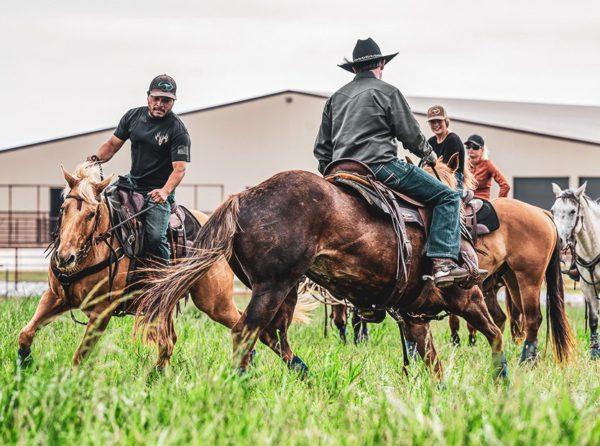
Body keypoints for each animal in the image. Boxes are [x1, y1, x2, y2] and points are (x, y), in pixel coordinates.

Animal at [17, 163, 311, 369]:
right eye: (63, 208)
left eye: (91, 214)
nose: (65, 257)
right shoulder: (55, 297)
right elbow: (26, 333)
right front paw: (25, 366)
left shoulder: (101, 312)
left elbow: (80, 356)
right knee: (170, 342)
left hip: (214, 302)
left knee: (242, 324)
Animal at [136, 161, 509, 380]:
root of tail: (242, 198)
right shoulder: (467, 297)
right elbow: (495, 334)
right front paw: (501, 379)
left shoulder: (414, 319)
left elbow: (433, 363)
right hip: (273, 285)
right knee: (247, 332)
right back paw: (242, 382)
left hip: (282, 289)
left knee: (273, 335)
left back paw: (304, 373)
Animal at [424, 156, 575, 363]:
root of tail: (541, 213)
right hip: (511, 281)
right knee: (516, 318)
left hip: (529, 279)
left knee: (532, 318)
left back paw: (526, 361)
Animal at [551, 183, 600, 359]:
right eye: (553, 210)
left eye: (573, 211)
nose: (558, 240)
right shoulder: (587, 287)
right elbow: (593, 319)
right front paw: (594, 352)